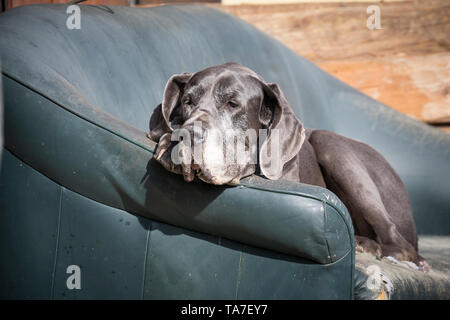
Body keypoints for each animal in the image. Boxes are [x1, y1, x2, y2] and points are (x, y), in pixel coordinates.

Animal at [149, 62, 428, 270]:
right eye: (187, 101)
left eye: (232, 104)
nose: (187, 134)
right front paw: (166, 140)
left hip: (332, 144)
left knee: (401, 243)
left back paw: (370, 246)